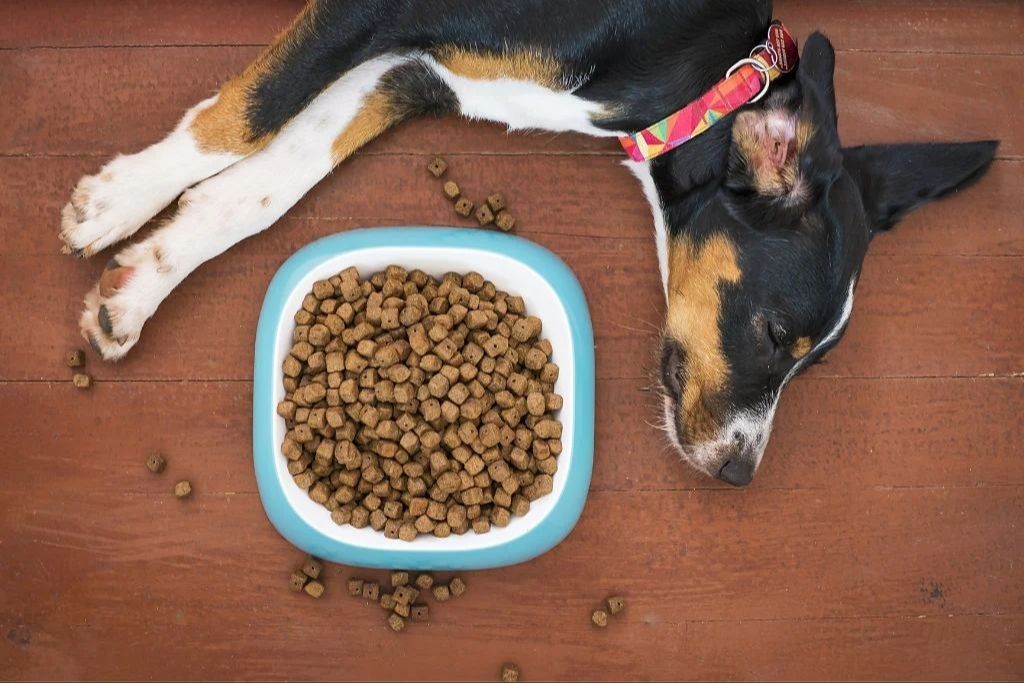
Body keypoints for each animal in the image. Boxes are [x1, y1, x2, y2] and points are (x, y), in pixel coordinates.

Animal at [59, 0, 995, 485]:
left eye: (817, 364)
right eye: (771, 332)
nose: (739, 473)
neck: (703, 70)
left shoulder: (416, 71)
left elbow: (265, 182)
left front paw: (141, 281)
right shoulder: (377, 11)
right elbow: (247, 115)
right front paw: (116, 201)